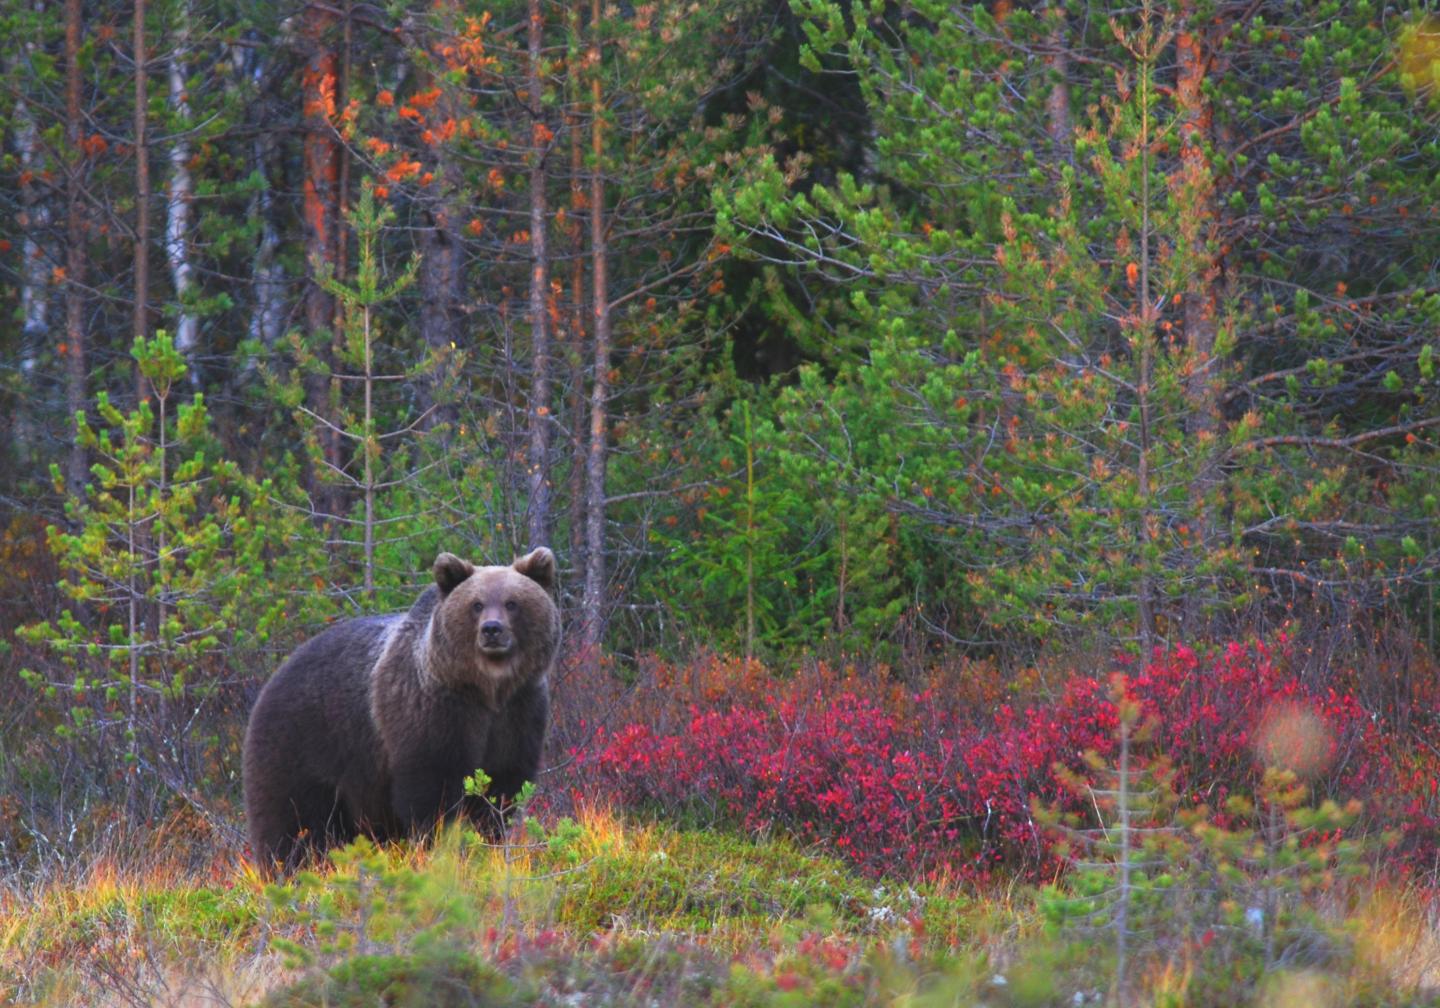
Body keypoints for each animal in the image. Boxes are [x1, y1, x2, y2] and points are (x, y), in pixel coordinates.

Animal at [242, 547, 559, 875]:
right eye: (477, 604)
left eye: (512, 603)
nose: (492, 630)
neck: (487, 689)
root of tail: (272, 679)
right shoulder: (432, 710)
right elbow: (433, 790)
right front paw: (442, 848)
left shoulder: (519, 712)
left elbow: (502, 787)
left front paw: (486, 843)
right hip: (299, 746)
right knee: (292, 823)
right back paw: (285, 869)